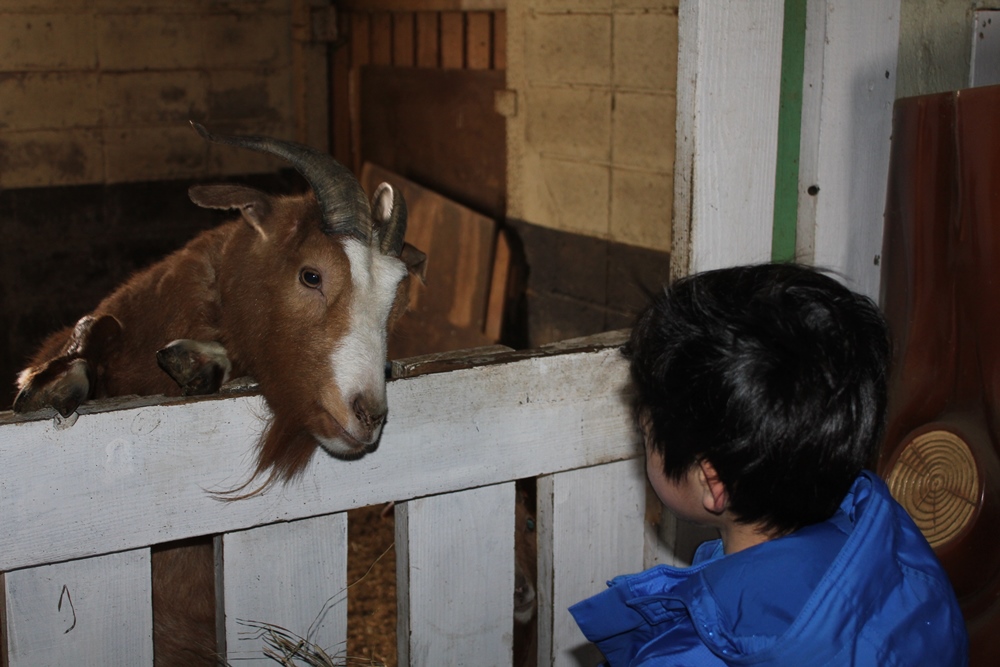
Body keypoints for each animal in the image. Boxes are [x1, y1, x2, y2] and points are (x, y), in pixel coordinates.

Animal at [12, 122, 426, 664]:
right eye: (311, 274)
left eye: (396, 300)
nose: (369, 415)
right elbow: (95, 329)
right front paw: (57, 380)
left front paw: (199, 362)